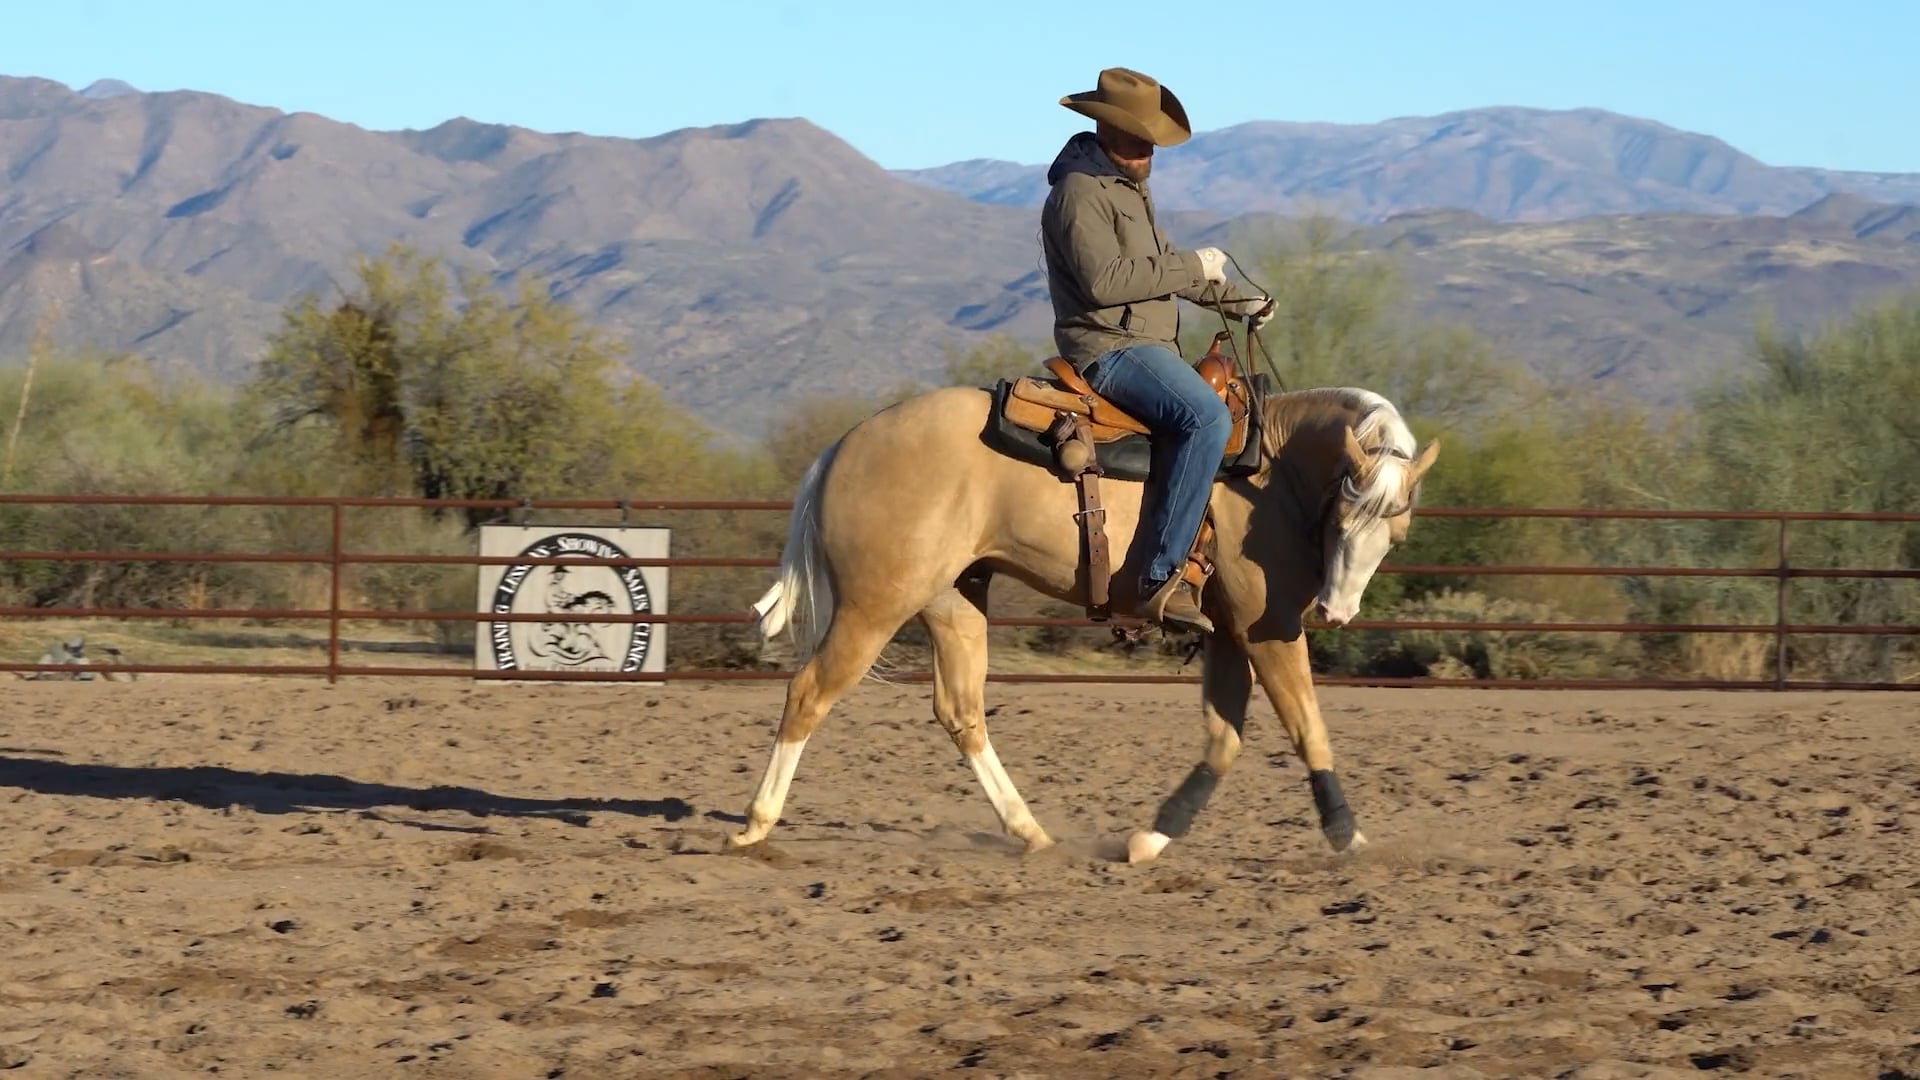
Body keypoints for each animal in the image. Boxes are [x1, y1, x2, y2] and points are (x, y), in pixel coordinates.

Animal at [728, 311, 1439, 865]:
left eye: (1398, 533)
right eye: (1343, 517)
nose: (1337, 611)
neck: (1269, 470)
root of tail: (841, 447)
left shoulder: (1228, 634)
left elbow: (1224, 741)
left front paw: (1152, 837)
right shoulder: (1268, 629)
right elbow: (1307, 728)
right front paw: (1348, 837)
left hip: (952, 604)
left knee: (961, 713)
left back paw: (1030, 832)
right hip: (874, 606)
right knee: (809, 693)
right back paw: (756, 824)